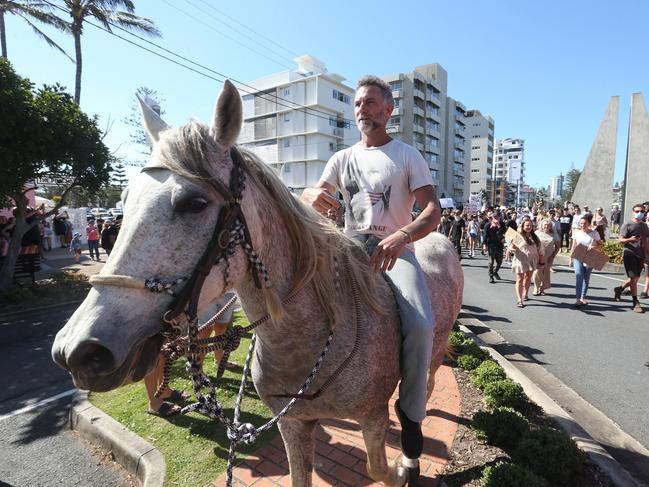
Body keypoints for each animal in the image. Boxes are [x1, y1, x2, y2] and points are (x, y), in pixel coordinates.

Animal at [53, 82, 464, 486]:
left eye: (194, 203)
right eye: (124, 199)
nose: (77, 351)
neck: (309, 336)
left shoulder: (373, 415)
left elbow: (378, 469)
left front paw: (401, 468)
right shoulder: (293, 424)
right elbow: (302, 475)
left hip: (433, 345)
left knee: (423, 387)